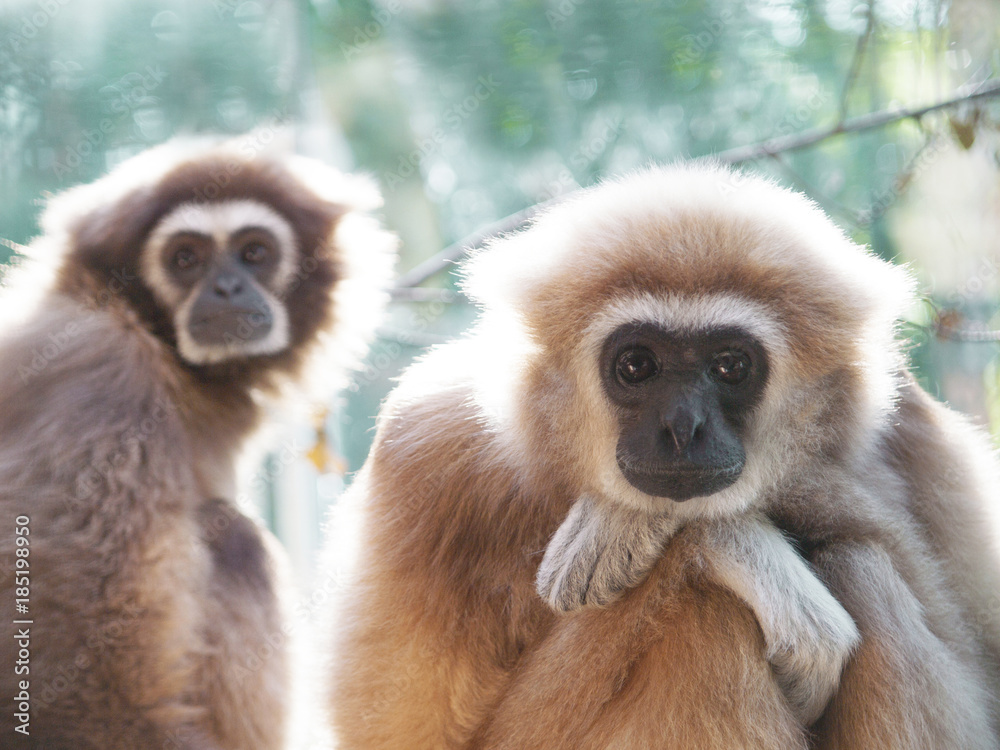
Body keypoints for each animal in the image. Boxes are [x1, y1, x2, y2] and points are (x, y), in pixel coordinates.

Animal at [0, 137, 396, 749]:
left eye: (255, 252)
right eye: (184, 258)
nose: (227, 287)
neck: (145, 332)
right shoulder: (99, 380)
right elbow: (79, 669)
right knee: (236, 543)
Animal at [323, 161, 1000, 749]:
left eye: (731, 366)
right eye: (636, 366)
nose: (682, 426)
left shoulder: (907, 420)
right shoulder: (427, 447)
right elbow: (410, 732)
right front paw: (710, 537)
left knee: (861, 564)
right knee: (705, 605)